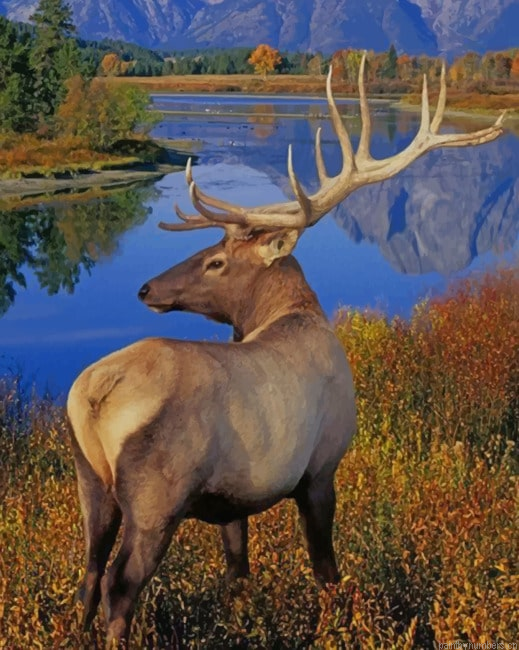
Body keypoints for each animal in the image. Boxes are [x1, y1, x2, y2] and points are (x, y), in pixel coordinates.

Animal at [66, 54, 504, 647]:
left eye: (216, 261)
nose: (146, 289)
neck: (293, 314)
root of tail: (93, 396)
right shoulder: (320, 468)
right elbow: (326, 570)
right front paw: (337, 623)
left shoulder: (232, 500)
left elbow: (238, 573)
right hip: (157, 498)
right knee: (119, 584)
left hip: (91, 482)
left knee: (89, 573)